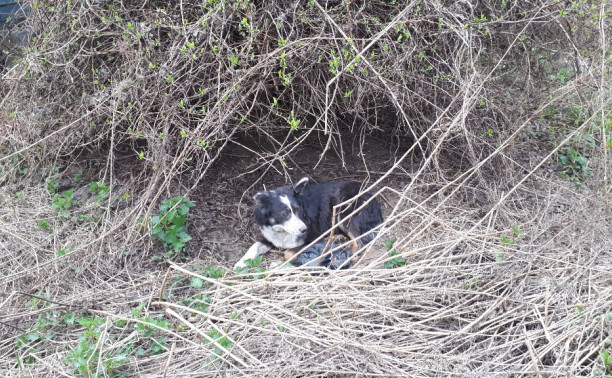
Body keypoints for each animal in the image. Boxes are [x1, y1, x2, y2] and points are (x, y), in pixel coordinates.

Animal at [234, 177, 382, 268]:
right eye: (284, 214)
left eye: (297, 210)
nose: (304, 230)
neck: (281, 230)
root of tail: (374, 196)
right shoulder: (269, 237)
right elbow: (255, 245)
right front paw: (242, 262)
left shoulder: (313, 237)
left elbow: (288, 253)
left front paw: (278, 264)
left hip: (344, 213)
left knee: (359, 243)